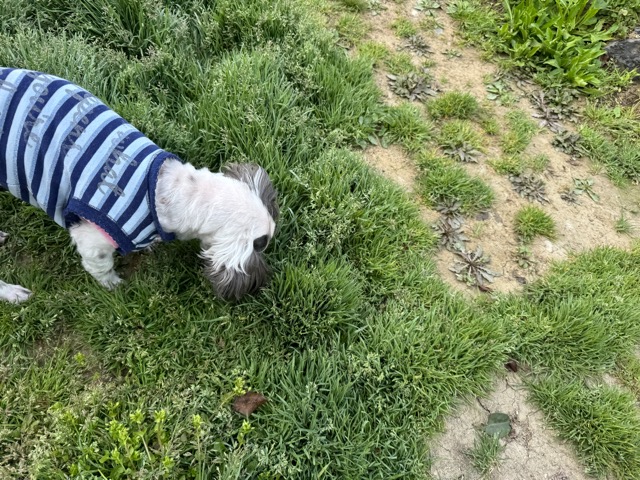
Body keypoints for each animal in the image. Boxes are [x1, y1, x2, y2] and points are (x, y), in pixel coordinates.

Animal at [0, 67, 278, 303]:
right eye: (262, 245)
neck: (165, 190)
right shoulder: (91, 239)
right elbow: (101, 267)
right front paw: (114, 285)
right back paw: (13, 293)